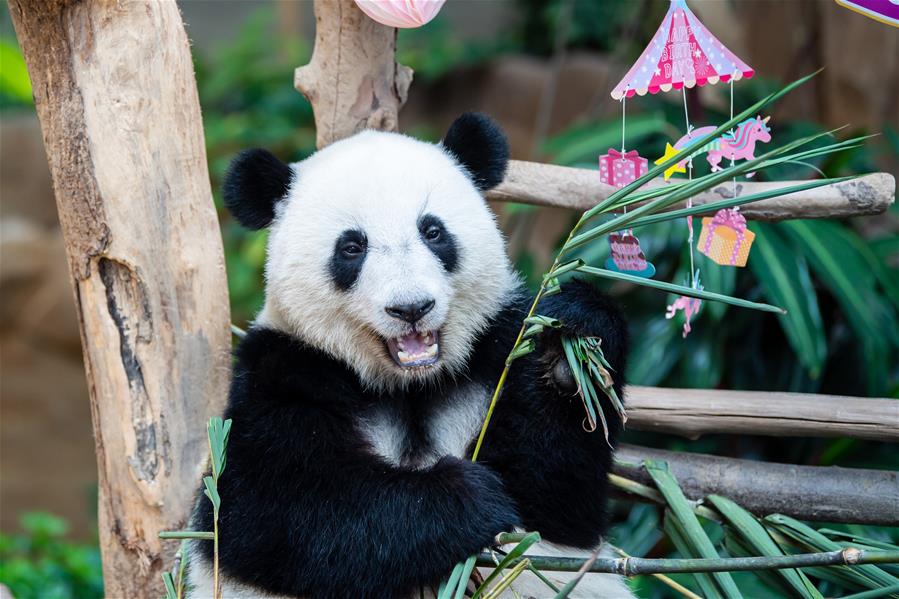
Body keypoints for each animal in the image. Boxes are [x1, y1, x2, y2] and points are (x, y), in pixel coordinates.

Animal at [186, 113, 632, 599]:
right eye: (352, 247)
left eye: (432, 231)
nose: (411, 308)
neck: (409, 386)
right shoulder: (286, 370)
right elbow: (273, 512)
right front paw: (464, 496)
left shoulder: (492, 350)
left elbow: (557, 499)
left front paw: (568, 350)